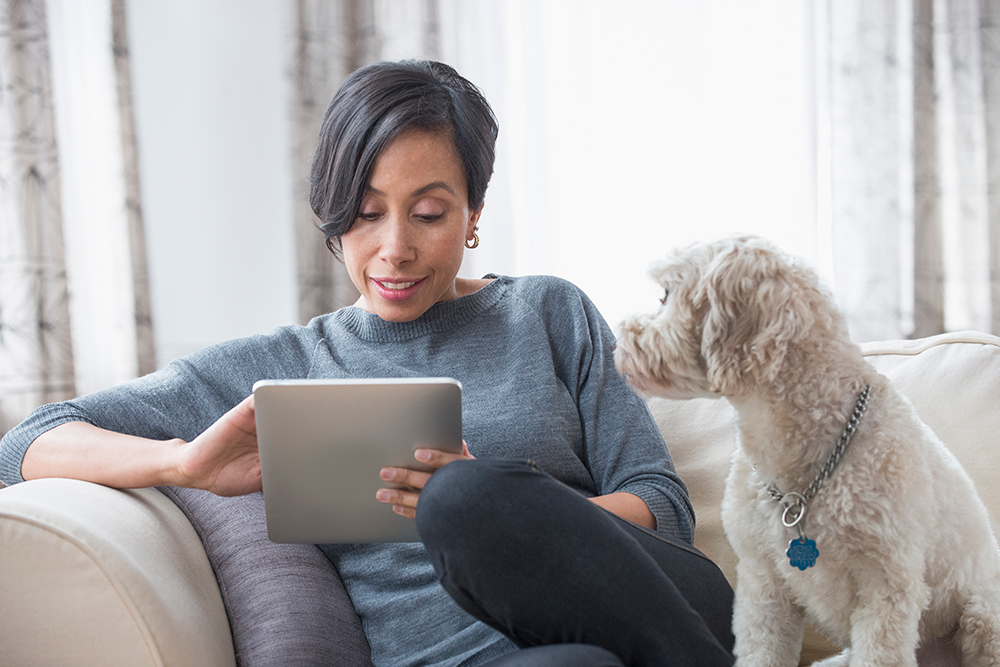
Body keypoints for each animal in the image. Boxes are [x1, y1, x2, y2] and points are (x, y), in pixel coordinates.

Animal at [612, 236, 1000, 667]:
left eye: (665, 295)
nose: (619, 339)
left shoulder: (887, 589)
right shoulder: (763, 584)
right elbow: (761, 652)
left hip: (983, 615)